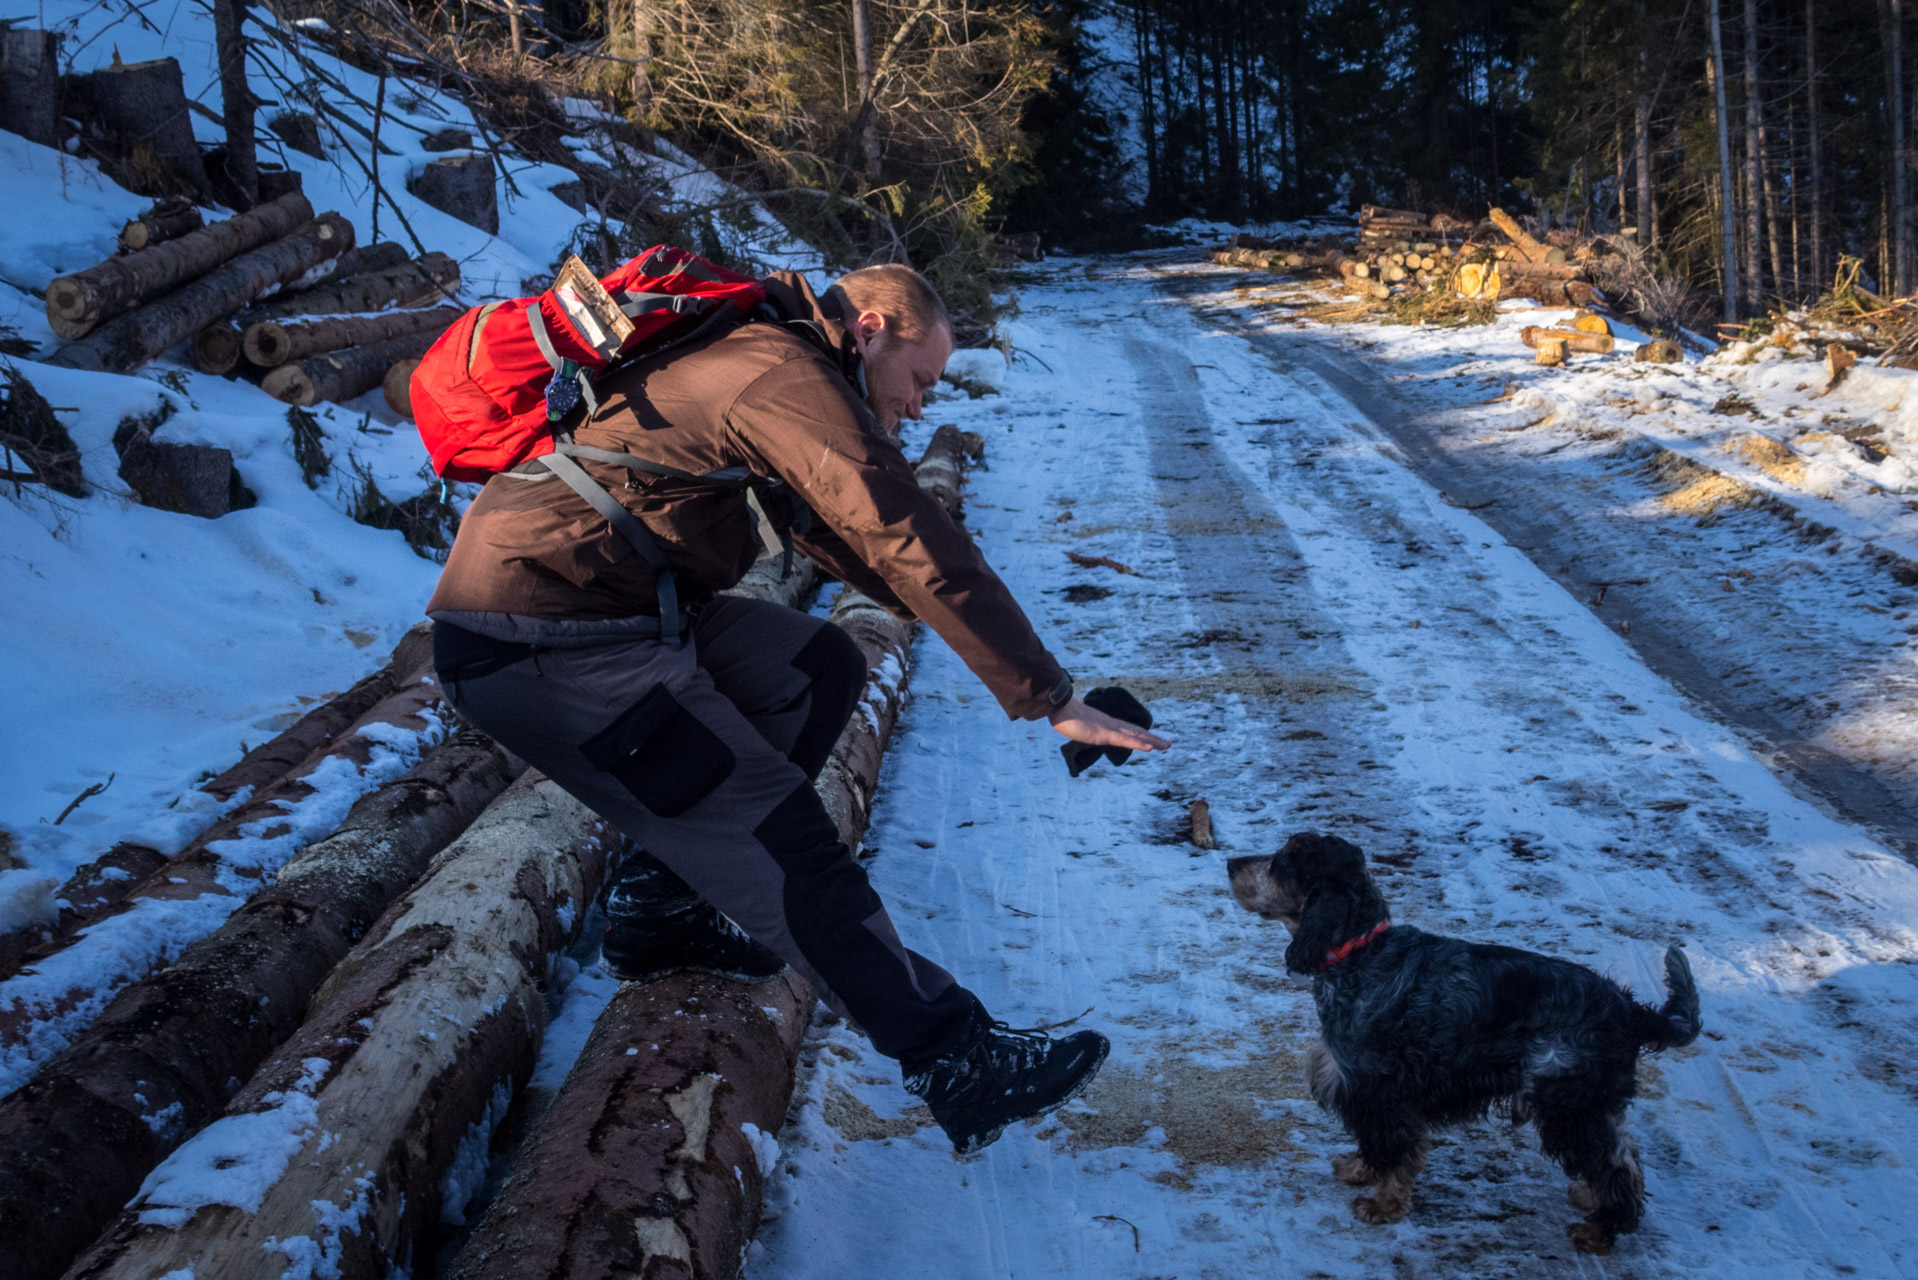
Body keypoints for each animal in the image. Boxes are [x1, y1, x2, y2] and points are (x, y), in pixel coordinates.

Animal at [1227, 832, 1695, 1251]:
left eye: (1284, 859)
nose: (1230, 862)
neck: (1361, 953)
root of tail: (1628, 1010)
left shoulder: (1380, 1087)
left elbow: (1396, 1148)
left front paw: (1383, 1205)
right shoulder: (1360, 1087)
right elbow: (1372, 1142)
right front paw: (1360, 1170)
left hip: (1568, 1102)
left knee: (1613, 1165)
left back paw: (1599, 1231)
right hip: (1595, 1102)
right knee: (1626, 1156)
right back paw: (1589, 1197)